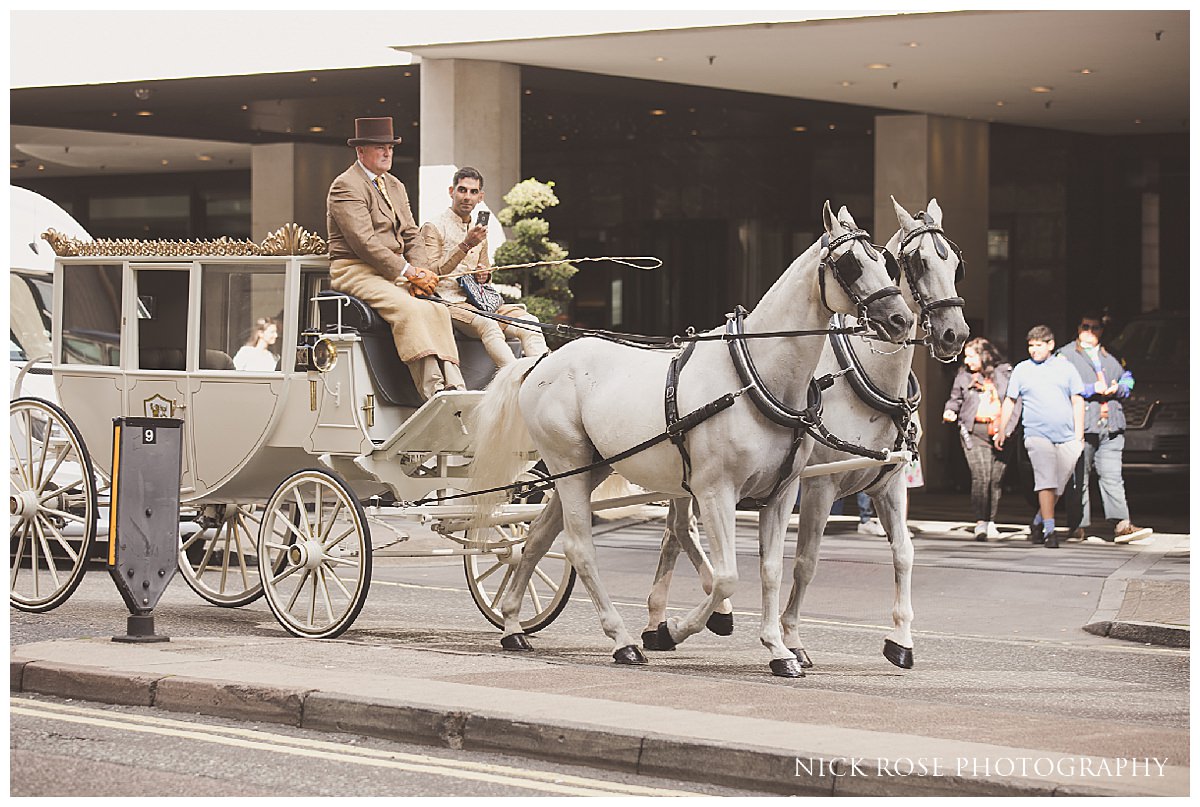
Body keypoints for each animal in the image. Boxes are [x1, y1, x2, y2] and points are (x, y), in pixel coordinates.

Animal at [465, 200, 907, 672]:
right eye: (850, 264)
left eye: (885, 261)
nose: (901, 319)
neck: (756, 375)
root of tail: (542, 362)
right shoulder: (716, 492)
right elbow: (728, 577)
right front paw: (674, 629)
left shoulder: (782, 493)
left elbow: (770, 570)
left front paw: (778, 649)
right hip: (568, 464)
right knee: (579, 548)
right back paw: (622, 639)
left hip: (591, 468)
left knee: (535, 539)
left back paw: (513, 623)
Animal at [643, 198, 969, 672]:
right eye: (916, 262)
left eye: (956, 265)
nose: (954, 334)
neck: (865, 377)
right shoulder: (819, 486)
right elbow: (805, 562)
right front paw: (792, 640)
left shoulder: (889, 485)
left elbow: (905, 553)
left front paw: (901, 640)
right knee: (683, 530)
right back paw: (696, 616)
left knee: (674, 533)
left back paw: (661, 621)